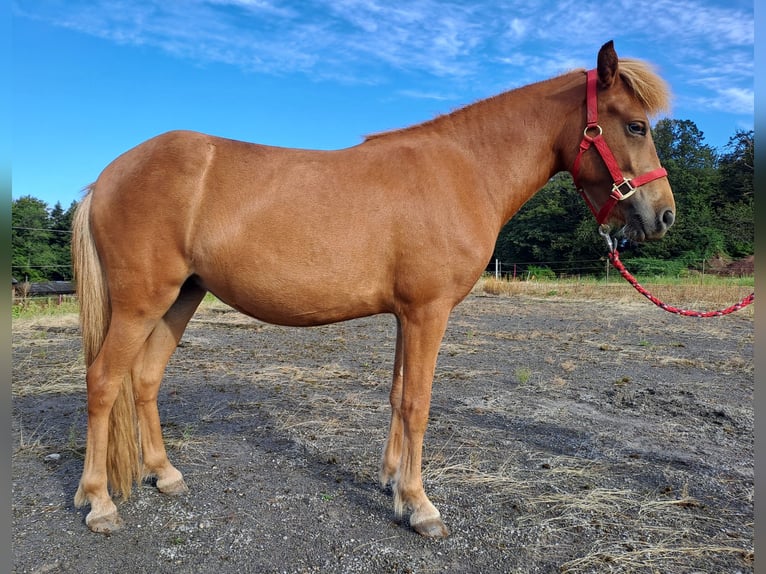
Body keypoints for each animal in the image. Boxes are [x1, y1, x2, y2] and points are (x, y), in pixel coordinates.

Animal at [70, 41, 672, 540]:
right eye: (636, 126)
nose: (663, 215)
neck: (464, 169)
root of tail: (107, 176)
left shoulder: (408, 314)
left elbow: (398, 396)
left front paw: (392, 484)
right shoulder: (429, 311)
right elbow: (418, 402)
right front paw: (420, 507)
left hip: (181, 298)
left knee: (144, 380)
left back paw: (165, 475)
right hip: (141, 303)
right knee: (103, 382)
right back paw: (99, 503)